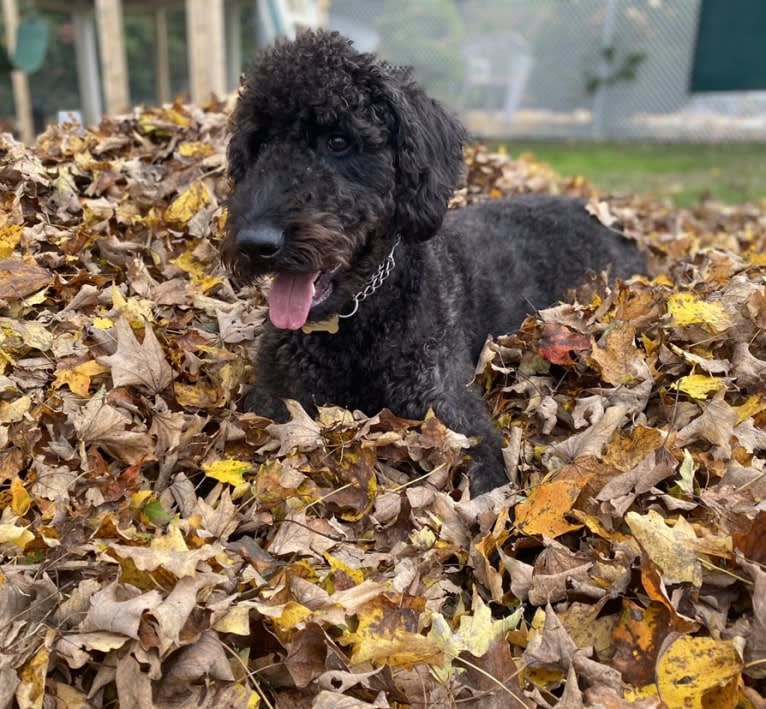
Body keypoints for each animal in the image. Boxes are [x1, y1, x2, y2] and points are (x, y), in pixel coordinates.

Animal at [220, 30, 640, 496]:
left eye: (338, 141)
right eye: (259, 143)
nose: (256, 243)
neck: (357, 317)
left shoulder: (448, 405)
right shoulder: (276, 399)